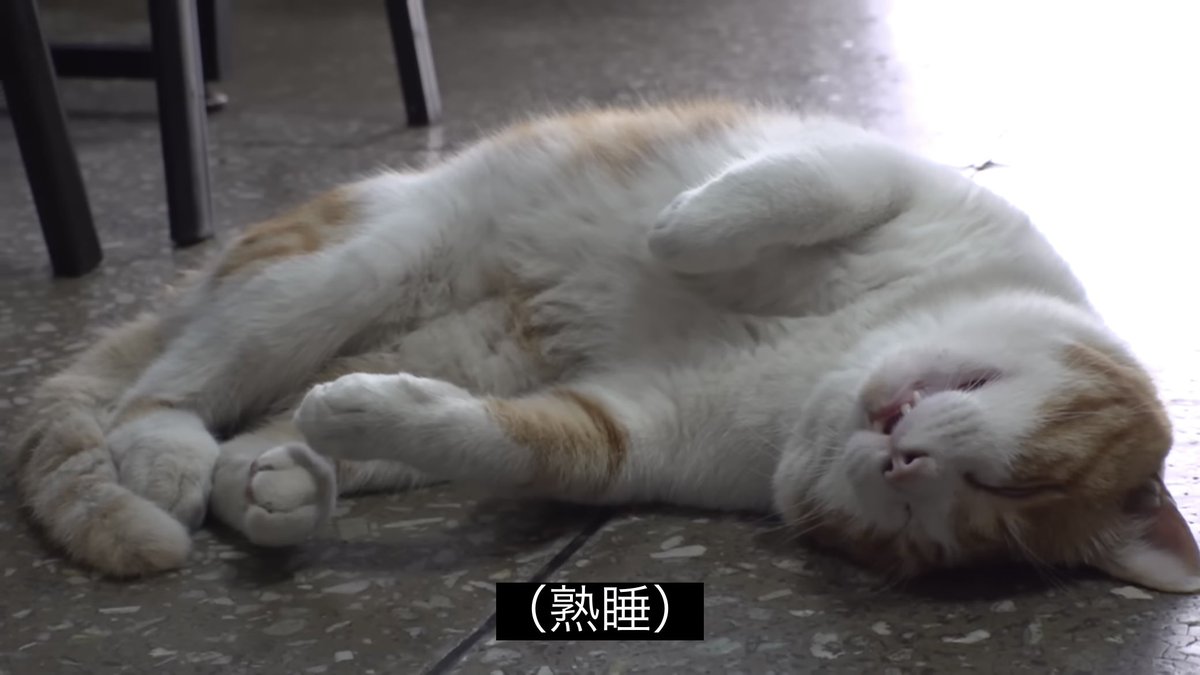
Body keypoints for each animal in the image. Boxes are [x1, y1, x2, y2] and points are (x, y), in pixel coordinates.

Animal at [10, 101, 1200, 592]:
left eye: (950, 518)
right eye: (1005, 476)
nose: (904, 453)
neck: (824, 360)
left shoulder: (626, 433)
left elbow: (514, 442)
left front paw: (373, 412)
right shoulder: (890, 180)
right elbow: (784, 192)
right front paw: (674, 231)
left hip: (399, 360)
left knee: (251, 428)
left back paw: (282, 478)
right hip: (332, 276)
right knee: (161, 388)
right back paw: (162, 456)